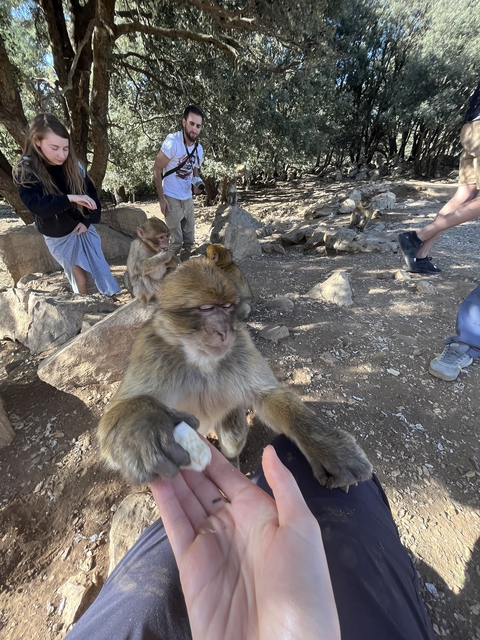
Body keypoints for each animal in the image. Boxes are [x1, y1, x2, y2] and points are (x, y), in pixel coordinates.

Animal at [98, 258, 372, 490]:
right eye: (206, 308)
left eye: (227, 307)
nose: (224, 331)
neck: (201, 360)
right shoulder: (151, 352)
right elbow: (115, 412)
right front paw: (142, 426)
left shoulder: (242, 345)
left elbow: (267, 397)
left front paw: (327, 448)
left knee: (232, 437)